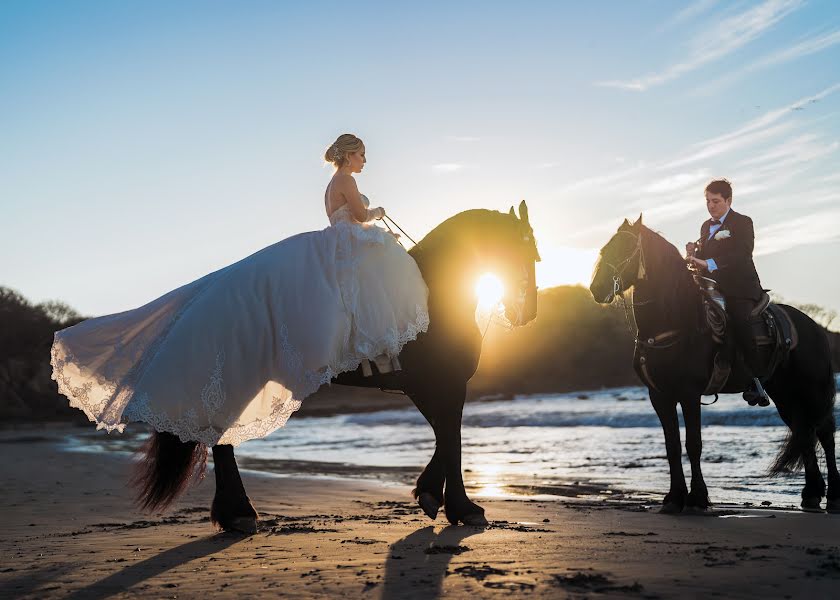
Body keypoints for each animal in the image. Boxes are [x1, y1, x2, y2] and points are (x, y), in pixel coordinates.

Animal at [131, 202, 540, 528]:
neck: (433, 292)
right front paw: (461, 506)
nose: (528, 314)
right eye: (524, 251)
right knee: (221, 440)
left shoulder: (423, 385)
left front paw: (430, 493)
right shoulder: (439, 383)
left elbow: (445, 433)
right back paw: (239, 513)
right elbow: (452, 435)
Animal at [588, 218, 836, 512]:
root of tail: (814, 326)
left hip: (812, 389)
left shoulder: (689, 393)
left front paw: (697, 497)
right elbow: (672, 446)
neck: (676, 321)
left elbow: (693, 444)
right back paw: (811, 493)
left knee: (824, 432)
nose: (596, 288)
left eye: (625, 248)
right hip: (786, 394)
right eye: (605, 248)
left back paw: (833, 496)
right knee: (804, 431)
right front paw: (674, 498)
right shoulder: (659, 395)